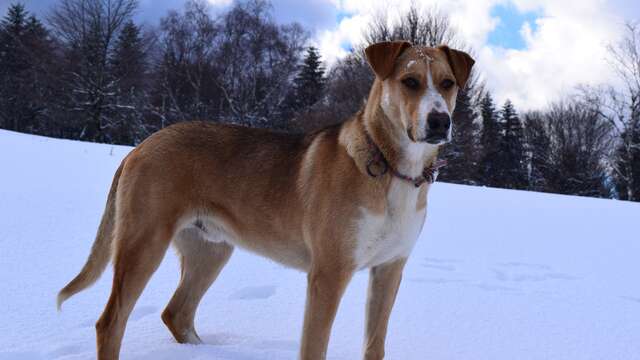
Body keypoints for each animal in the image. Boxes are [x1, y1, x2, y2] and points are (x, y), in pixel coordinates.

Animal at [57, 41, 472, 360]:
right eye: (410, 82)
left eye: (448, 83)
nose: (440, 122)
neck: (390, 168)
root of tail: (140, 147)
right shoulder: (329, 273)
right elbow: (314, 347)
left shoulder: (389, 269)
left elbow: (375, 344)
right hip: (144, 243)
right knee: (111, 322)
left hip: (210, 250)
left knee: (176, 313)